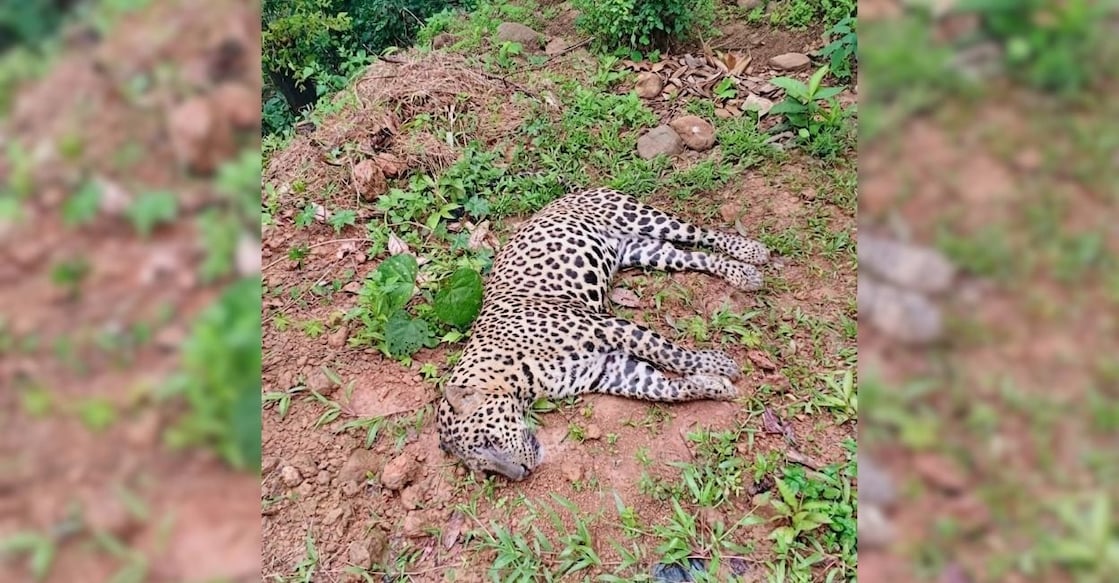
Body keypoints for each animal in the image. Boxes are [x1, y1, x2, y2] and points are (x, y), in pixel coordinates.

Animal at [436, 187, 770, 481]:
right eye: (485, 470)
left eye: (488, 441)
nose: (521, 474)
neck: (517, 377)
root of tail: (571, 192)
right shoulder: (610, 369)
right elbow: (668, 389)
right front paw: (713, 385)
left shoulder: (605, 326)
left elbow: (668, 352)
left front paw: (717, 365)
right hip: (644, 251)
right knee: (695, 257)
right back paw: (741, 273)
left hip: (641, 217)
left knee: (701, 234)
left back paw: (751, 253)